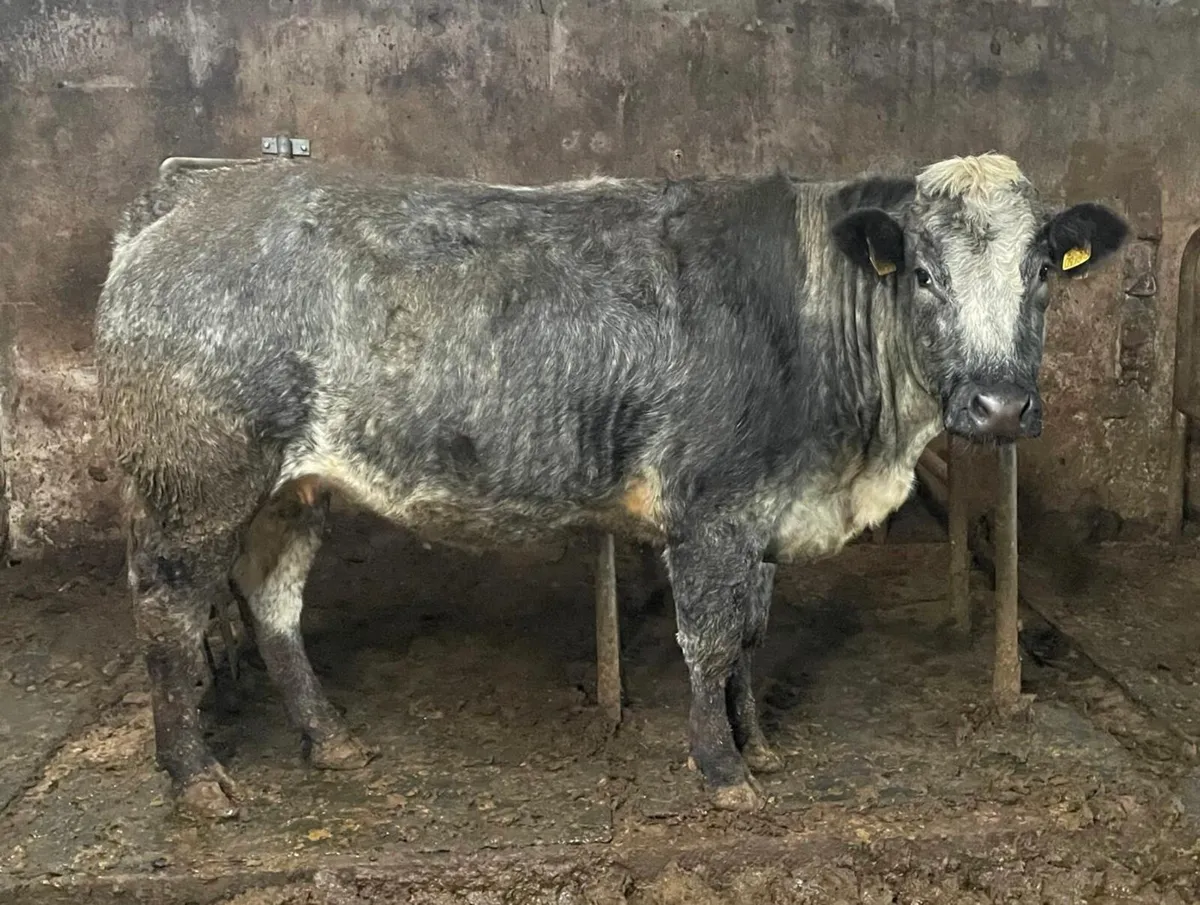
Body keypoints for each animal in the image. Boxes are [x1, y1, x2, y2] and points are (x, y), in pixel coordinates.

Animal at [94, 153, 1127, 820]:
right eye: (920, 272)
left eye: (1043, 269)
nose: (999, 405)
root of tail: (185, 196)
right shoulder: (708, 510)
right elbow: (708, 642)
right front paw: (722, 771)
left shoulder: (758, 516)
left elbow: (749, 636)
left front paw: (757, 740)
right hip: (193, 484)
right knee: (168, 615)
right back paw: (195, 780)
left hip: (292, 487)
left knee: (273, 603)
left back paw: (329, 738)